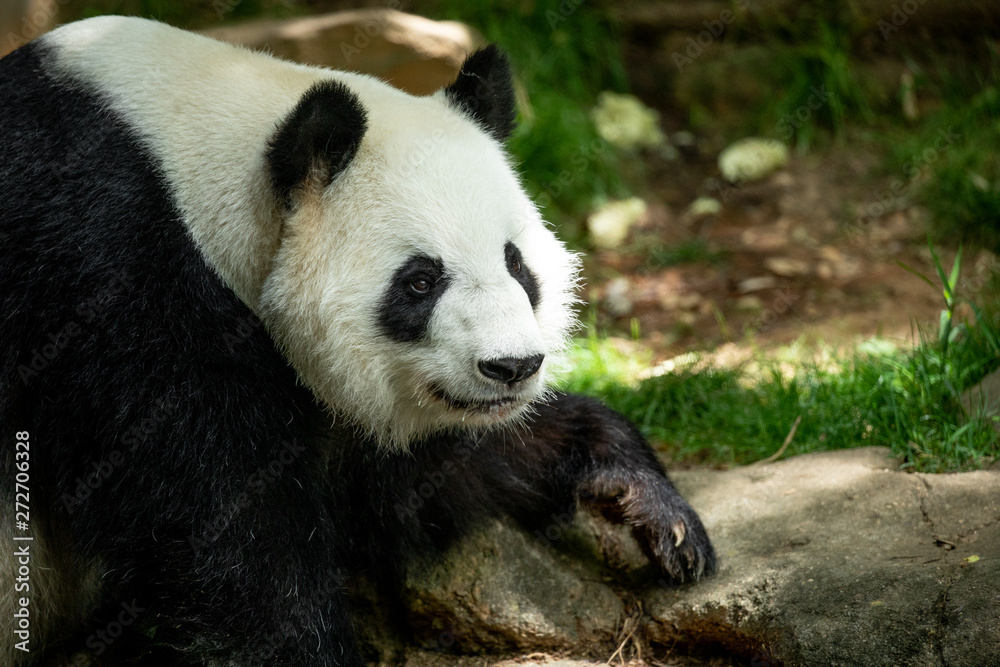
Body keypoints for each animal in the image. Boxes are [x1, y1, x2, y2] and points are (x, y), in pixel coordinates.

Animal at [1, 15, 720, 667]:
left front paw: (646, 502)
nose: (512, 367)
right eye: (421, 281)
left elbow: (397, 485)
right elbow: (217, 534)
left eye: (518, 266)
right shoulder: (105, 274)